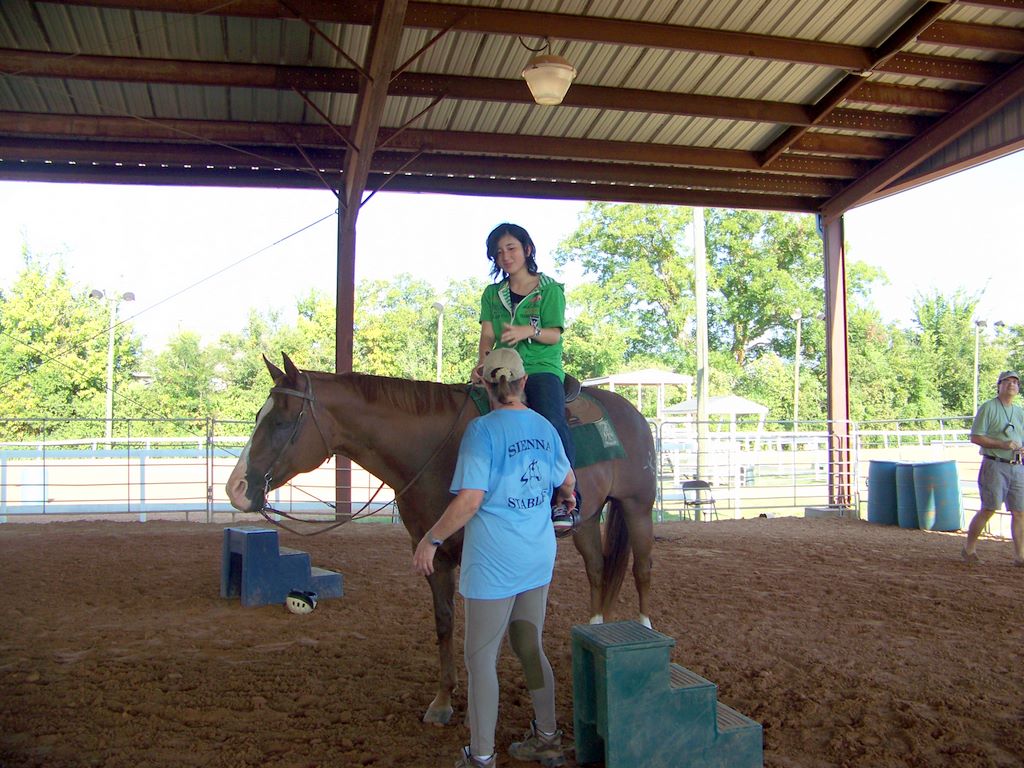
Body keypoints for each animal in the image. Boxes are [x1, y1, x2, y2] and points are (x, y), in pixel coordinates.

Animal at [226, 354, 657, 725]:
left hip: (637, 508)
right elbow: (445, 621)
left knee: (642, 570)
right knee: (597, 570)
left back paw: (644, 631)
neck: (437, 450)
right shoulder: (434, 552)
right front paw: (443, 701)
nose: (236, 489)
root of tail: (632, 413)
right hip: (587, 520)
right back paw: (594, 632)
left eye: (281, 422)